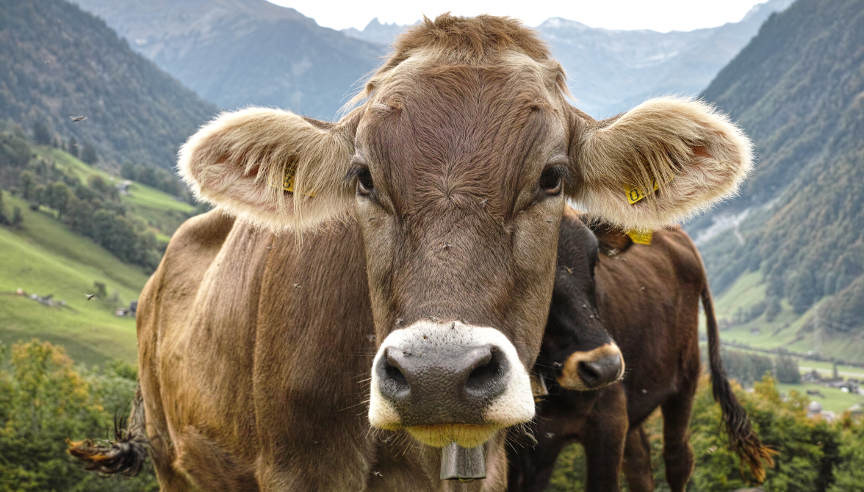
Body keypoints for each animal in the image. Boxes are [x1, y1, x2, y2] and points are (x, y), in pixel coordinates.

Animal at [506, 220, 768, 492]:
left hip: (685, 378)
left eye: (594, 258)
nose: (606, 366)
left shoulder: (608, 421)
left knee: (678, 459)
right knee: (639, 462)